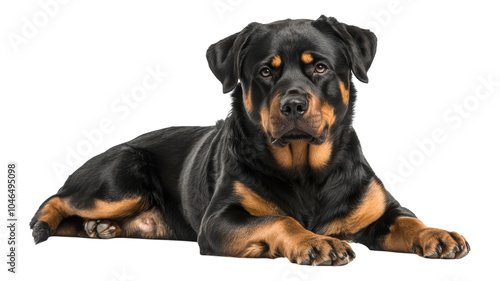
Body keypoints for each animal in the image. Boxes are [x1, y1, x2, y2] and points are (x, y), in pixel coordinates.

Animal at [31, 15, 468, 264]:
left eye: (320, 67)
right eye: (265, 72)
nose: (293, 104)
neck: (306, 172)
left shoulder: (379, 209)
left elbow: (408, 220)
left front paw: (437, 234)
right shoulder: (219, 220)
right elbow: (279, 218)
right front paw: (315, 242)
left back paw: (99, 229)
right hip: (122, 176)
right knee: (61, 197)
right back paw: (41, 224)